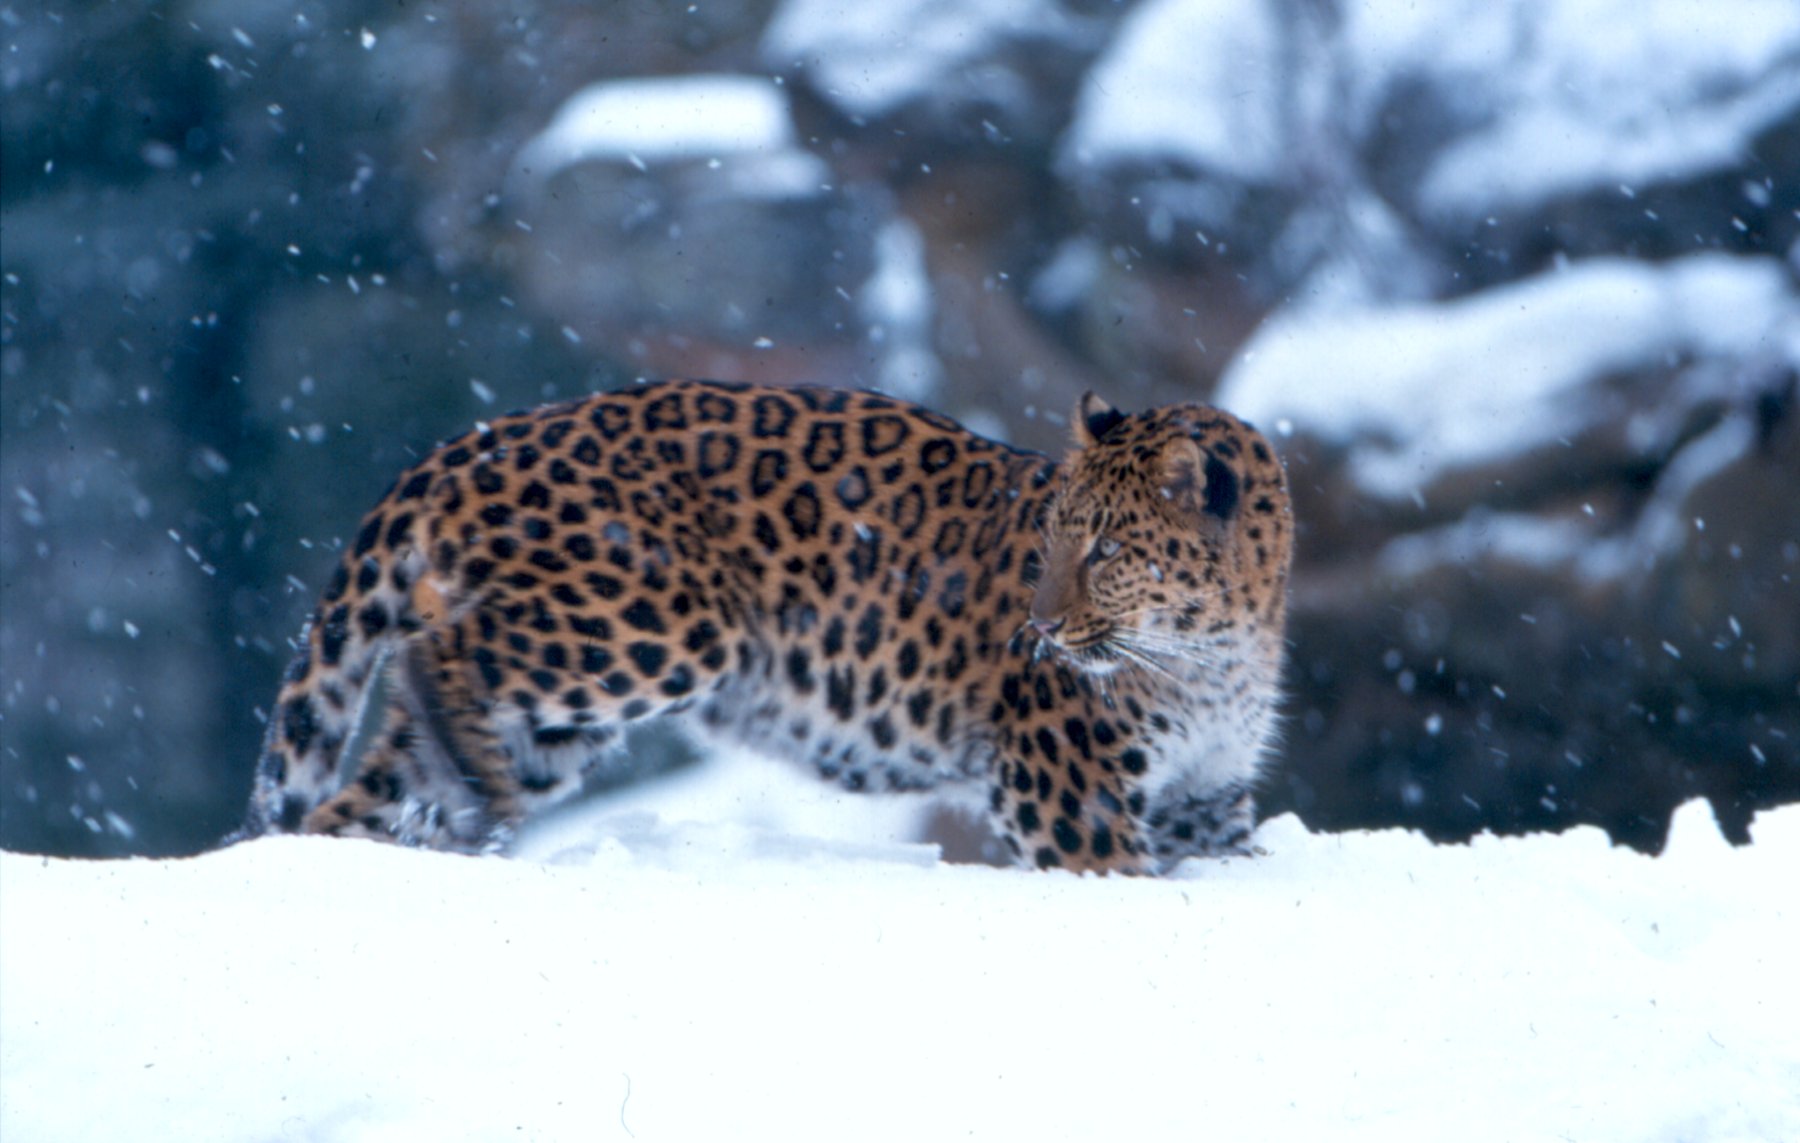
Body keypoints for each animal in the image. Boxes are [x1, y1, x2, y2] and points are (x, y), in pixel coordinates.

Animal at [239, 379, 1292, 874]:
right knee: (441, 643)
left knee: (361, 793)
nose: (1040, 630)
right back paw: (473, 795)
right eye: (1050, 541)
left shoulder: (1207, 796)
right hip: (658, 621)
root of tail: (471, 441)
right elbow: (1119, 874)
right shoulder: (1061, 787)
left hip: (552, 727)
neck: (1216, 652)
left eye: (1107, 550)